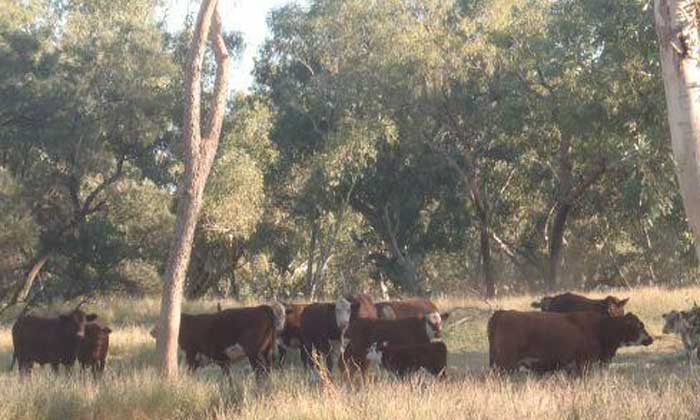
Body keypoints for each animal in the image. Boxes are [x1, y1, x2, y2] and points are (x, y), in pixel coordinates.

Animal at [487, 310, 652, 374]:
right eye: (639, 325)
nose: (650, 339)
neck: (600, 328)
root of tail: (502, 312)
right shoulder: (584, 364)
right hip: (504, 364)